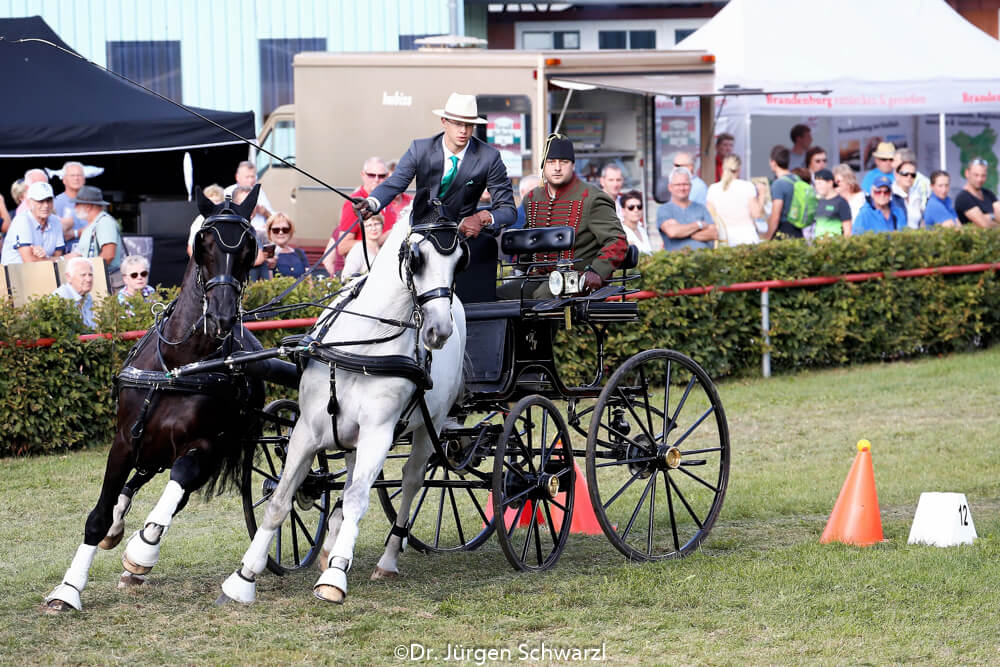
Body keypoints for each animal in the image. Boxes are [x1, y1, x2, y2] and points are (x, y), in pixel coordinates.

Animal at [44, 185, 266, 612]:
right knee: (139, 479)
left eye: (250, 247)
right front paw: (69, 588)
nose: (223, 316)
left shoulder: (204, 446)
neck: (181, 366)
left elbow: (177, 486)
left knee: (175, 490)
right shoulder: (124, 440)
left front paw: (143, 549)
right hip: (150, 443)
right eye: (204, 241)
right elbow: (98, 515)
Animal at [218, 219, 464, 604]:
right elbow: (280, 500)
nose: (439, 331)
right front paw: (244, 577)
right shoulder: (306, 431)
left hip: (430, 427)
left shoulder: (379, 433)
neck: (363, 344)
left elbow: (358, 501)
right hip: (350, 436)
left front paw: (334, 576)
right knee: (349, 481)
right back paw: (331, 543)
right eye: (417, 257)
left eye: (459, 261)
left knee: (410, 481)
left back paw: (386, 559)